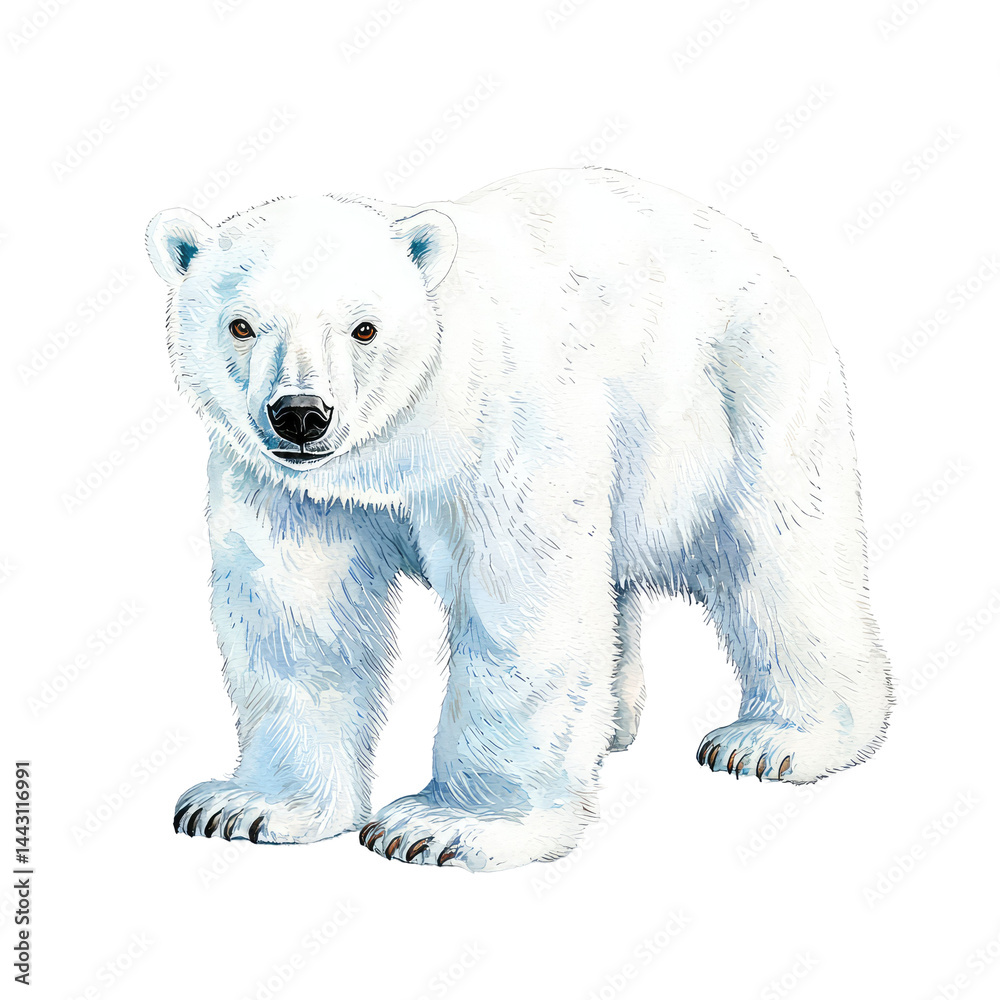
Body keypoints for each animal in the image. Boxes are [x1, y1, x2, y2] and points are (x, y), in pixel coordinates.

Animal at [146, 167, 891, 872]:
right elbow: (295, 614)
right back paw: (613, 724)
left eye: (364, 328)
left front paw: (444, 826)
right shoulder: (294, 491)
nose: (301, 414)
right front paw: (249, 807)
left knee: (783, 557)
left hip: (749, 391)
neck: (395, 450)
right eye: (241, 325)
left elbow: (520, 605)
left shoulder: (504, 431)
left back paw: (777, 740)